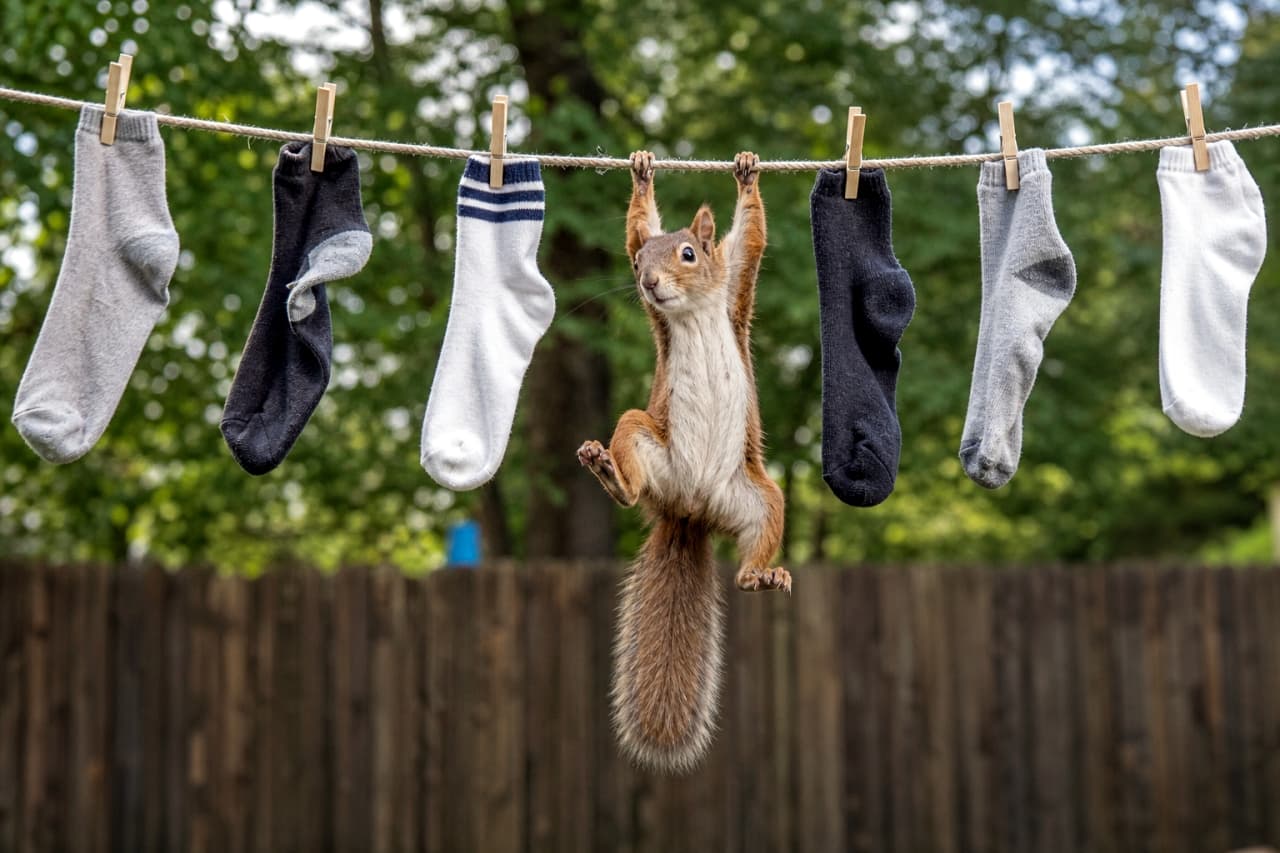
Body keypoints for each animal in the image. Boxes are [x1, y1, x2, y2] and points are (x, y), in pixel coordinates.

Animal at [576, 150, 789, 774]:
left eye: (690, 253)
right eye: (638, 260)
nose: (648, 283)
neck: (694, 311)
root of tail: (690, 513)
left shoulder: (735, 277)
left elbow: (752, 236)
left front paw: (747, 172)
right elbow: (636, 222)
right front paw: (642, 172)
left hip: (762, 498)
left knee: (750, 563)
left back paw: (762, 574)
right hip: (642, 433)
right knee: (630, 478)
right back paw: (610, 473)